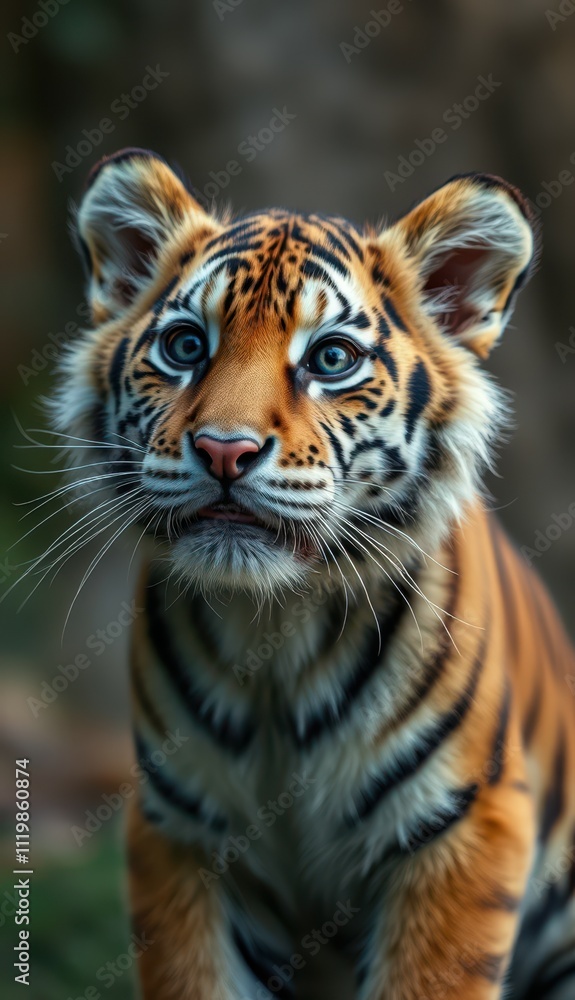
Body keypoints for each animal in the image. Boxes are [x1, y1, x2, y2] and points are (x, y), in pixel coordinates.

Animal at [49, 147, 575, 999]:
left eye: (330, 358)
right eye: (186, 347)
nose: (224, 450)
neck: (275, 634)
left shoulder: (463, 824)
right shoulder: (180, 832)